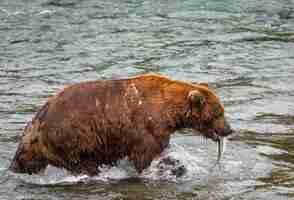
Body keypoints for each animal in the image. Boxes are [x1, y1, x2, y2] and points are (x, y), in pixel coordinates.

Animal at [8, 73, 232, 175]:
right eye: (219, 112)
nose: (229, 129)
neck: (169, 111)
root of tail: (37, 120)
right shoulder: (146, 125)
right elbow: (146, 154)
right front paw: (167, 167)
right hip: (70, 137)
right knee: (82, 163)